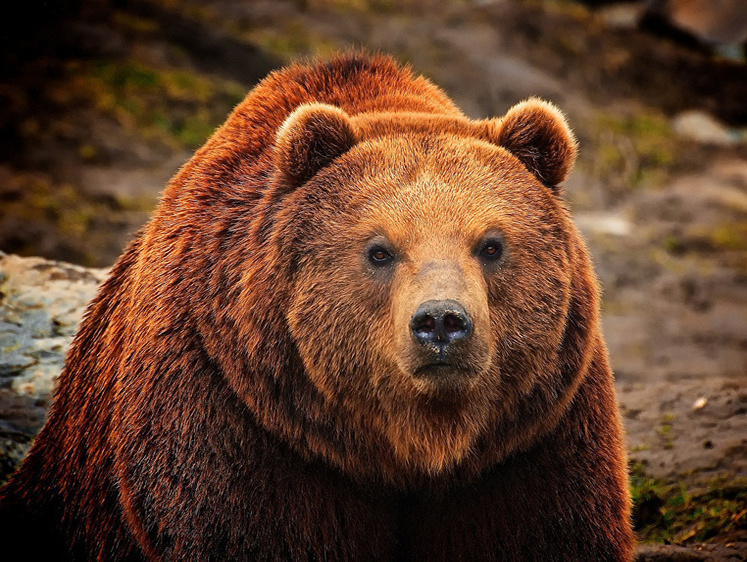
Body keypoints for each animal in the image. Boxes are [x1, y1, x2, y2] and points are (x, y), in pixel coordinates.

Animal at [0, 51, 636, 556]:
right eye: (379, 250)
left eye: (491, 244)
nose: (441, 323)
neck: (411, 444)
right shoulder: (238, 418)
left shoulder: (530, 436)